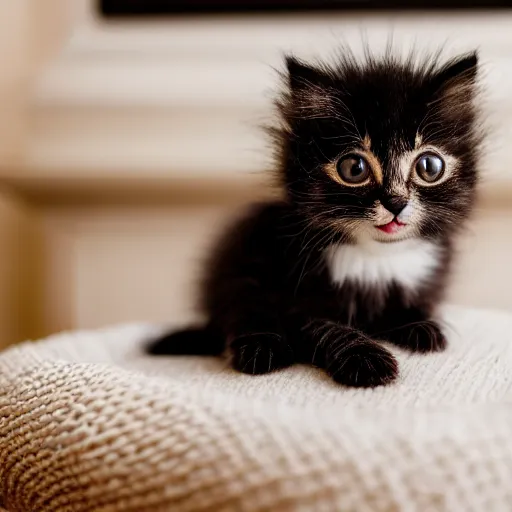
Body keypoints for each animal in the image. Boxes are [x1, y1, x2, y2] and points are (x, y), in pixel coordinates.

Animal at [147, 49, 480, 388]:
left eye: (429, 166)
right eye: (354, 169)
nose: (396, 203)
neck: (374, 257)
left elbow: (412, 306)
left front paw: (420, 326)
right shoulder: (294, 302)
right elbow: (328, 329)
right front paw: (367, 360)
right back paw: (260, 349)